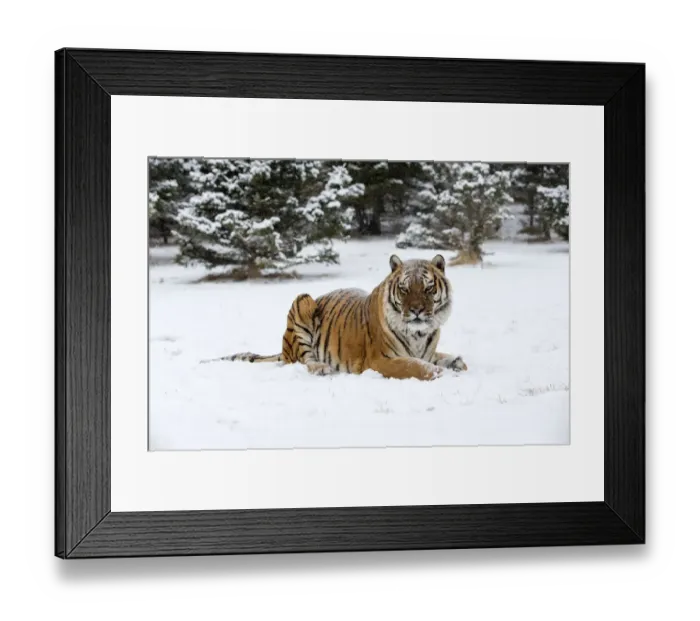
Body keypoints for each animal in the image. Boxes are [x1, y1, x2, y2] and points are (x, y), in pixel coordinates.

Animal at [205, 254, 468, 381]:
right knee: (303, 360)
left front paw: (457, 362)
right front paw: (439, 373)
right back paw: (322, 368)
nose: (416, 311)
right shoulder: (380, 360)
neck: (419, 333)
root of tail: (283, 348)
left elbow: (443, 358)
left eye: (428, 288)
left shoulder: (428, 351)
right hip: (303, 302)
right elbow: (416, 366)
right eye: (404, 289)